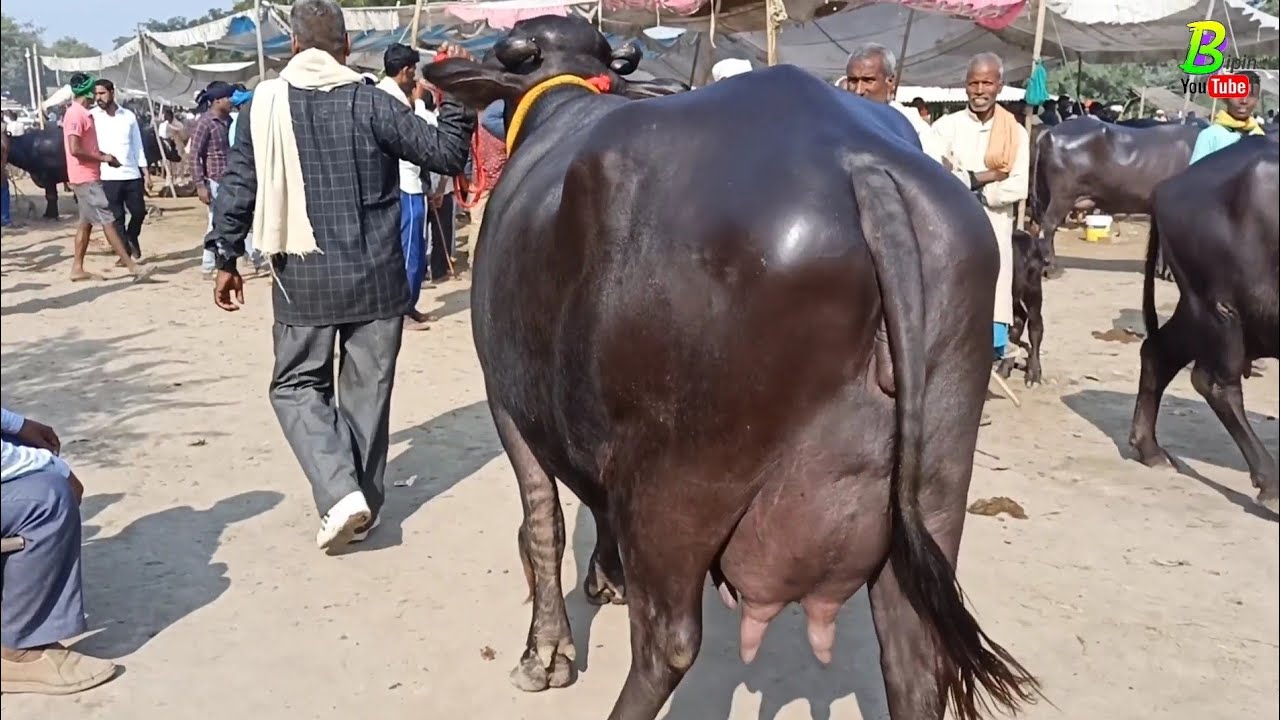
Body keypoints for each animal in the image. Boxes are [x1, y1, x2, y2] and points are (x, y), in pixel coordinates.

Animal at [425, 15, 1037, 720]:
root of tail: (864, 169)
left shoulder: (506, 399)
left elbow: (540, 522)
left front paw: (545, 652)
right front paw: (604, 576)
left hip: (677, 481)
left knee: (667, 643)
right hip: (935, 482)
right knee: (917, 659)